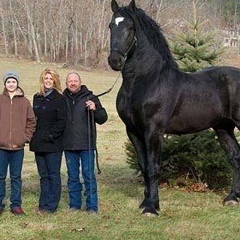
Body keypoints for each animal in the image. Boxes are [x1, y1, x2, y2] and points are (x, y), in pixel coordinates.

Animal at [108, 0, 240, 215]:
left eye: (130, 27)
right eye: (111, 26)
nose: (115, 61)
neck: (145, 81)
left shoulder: (153, 131)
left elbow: (153, 168)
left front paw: (152, 208)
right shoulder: (133, 131)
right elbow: (144, 166)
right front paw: (145, 202)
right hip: (223, 127)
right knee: (235, 157)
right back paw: (232, 198)